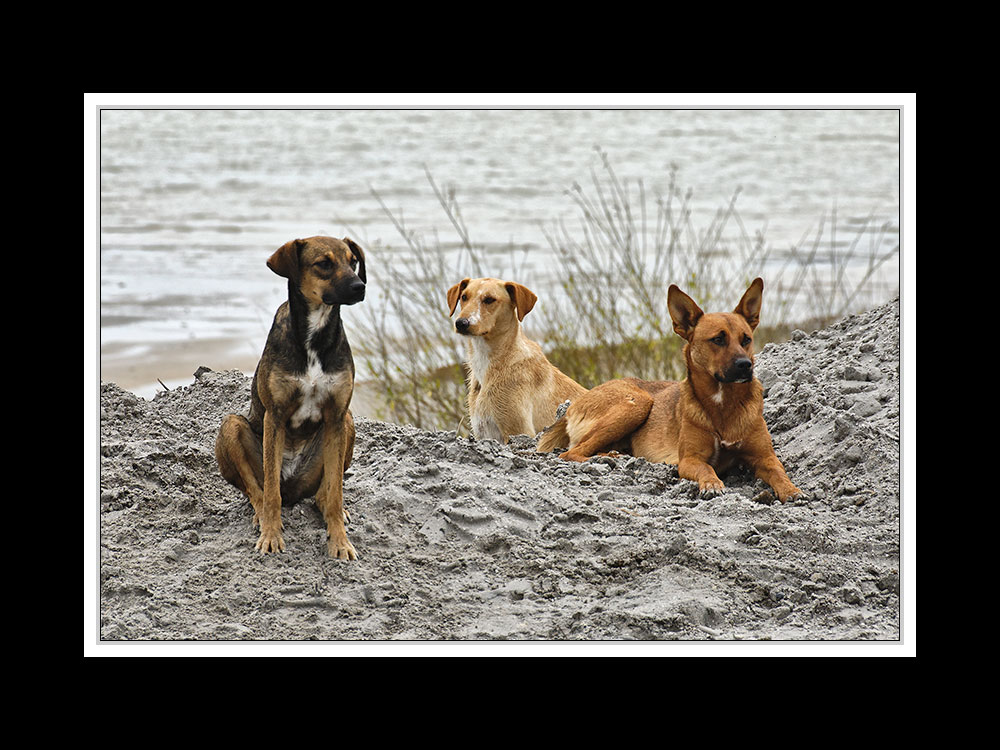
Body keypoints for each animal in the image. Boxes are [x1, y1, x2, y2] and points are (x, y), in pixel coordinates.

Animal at [536, 280, 800, 502]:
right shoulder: (690, 460)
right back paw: (608, 457)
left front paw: (791, 490)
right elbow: (707, 468)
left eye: (746, 339)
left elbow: (779, 472)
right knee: (571, 453)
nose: (745, 365)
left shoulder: (764, 457)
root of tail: (574, 405)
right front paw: (712, 484)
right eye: (718, 340)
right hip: (637, 403)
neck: (723, 404)